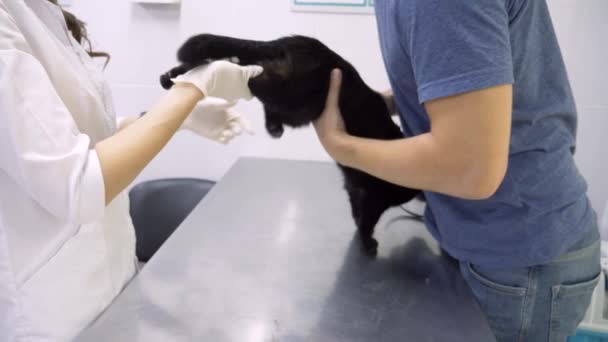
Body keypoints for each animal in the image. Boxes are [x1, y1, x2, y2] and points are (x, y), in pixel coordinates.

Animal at [159, 34, 420, 256]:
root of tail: (293, 40)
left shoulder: (355, 187)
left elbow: (357, 211)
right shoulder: (377, 196)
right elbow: (367, 220)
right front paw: (367, 243)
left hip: (289, 100)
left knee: (223, 65)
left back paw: (173, 77)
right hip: (291, 91)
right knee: (244, 73)